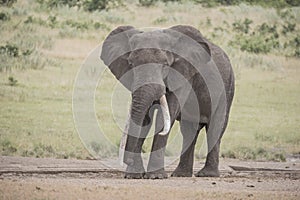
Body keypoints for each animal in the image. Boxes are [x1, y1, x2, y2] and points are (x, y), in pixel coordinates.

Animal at [101, 24, 234, 179]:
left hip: (227, 87)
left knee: (215, 128)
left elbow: (165, 116)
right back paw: (181, 175)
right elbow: (144, 119)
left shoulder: (183, 76)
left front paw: (156, 176)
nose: (127, 160)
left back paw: (207, 175)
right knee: (189, 131)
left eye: (165, 64)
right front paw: (133, 176)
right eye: (130, 63)